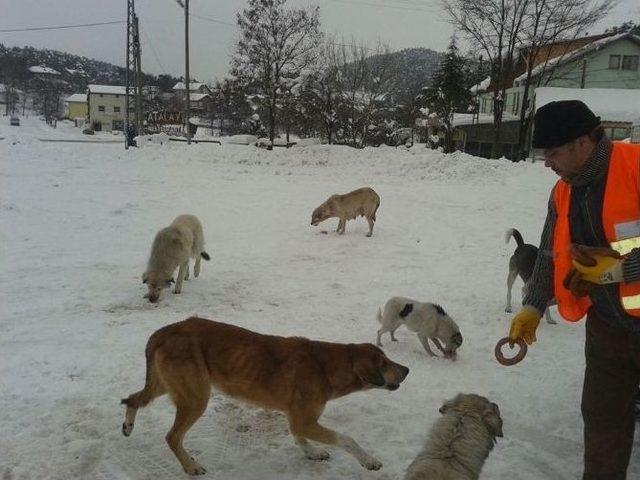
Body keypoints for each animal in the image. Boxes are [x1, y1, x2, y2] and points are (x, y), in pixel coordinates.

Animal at [120, 316, 410, 474]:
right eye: (385, 363)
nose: (407, 370)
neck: (325, 366)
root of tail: (165, 330)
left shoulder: (298, 419)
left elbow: (299, 437)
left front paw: (312, 453)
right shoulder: (305, 420)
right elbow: (346, 439)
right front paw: (369, 460)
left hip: (168, 386)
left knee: (132, 398)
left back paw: (128, 425)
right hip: (195, 398)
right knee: (172, 437)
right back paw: (191, 467)